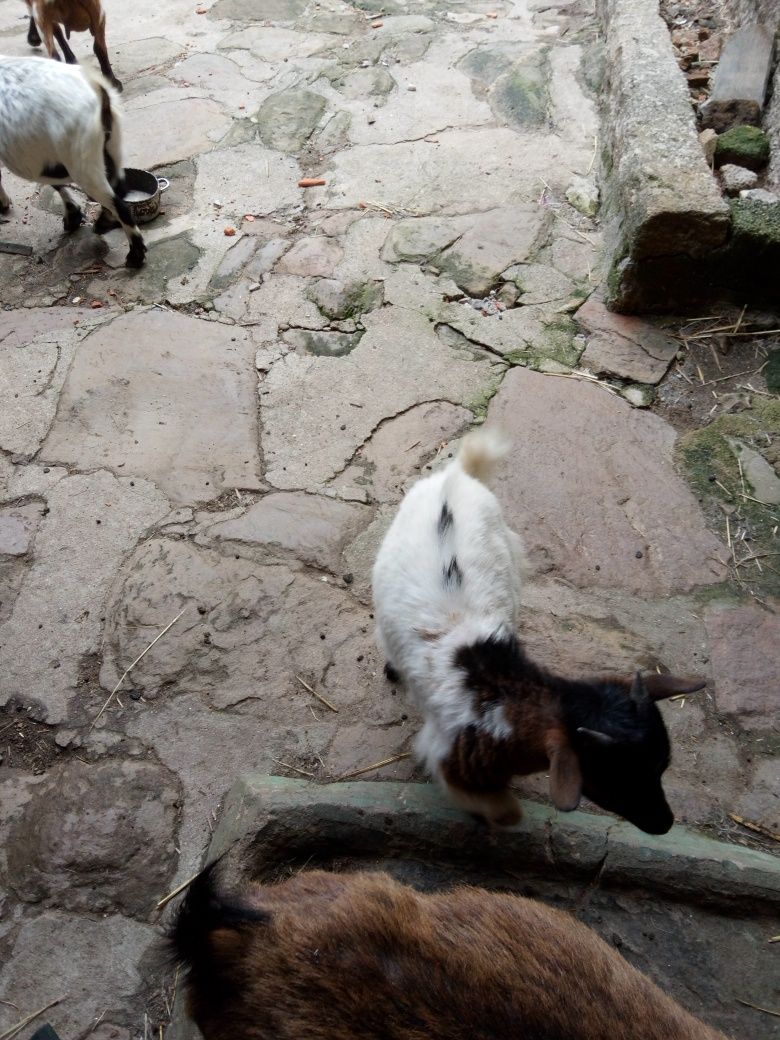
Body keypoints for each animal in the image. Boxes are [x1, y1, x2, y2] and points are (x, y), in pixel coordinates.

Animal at [0, 55, 145, 268]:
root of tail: (96, 89)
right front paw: (73, 215)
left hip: (81, 159)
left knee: (119, 204)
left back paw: (135, 256)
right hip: (108, 146)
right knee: (119, 186)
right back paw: (103, 223)